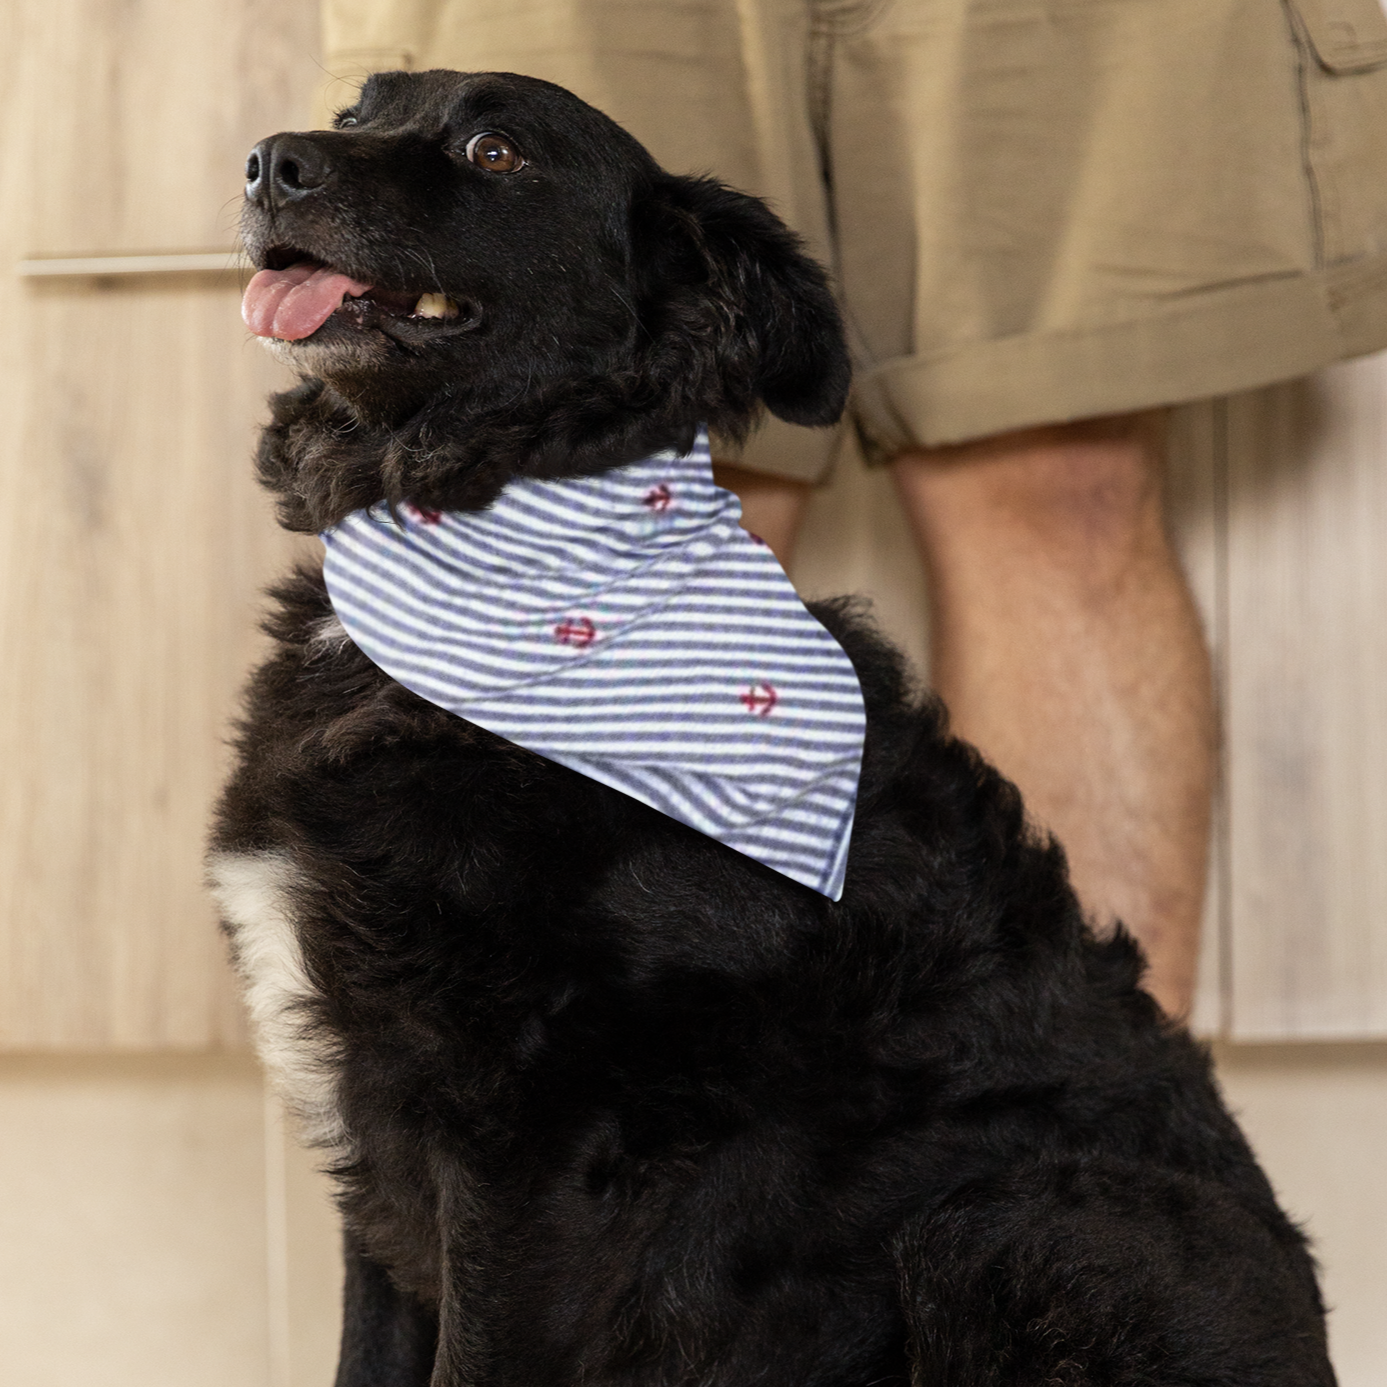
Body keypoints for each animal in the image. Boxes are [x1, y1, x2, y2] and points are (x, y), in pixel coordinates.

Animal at [210, 70, 1337, 1381]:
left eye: (494, 151)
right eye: (359, 110)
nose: (266, 162)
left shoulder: (527, 1151)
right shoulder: (380, 1142)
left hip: (1019, 1220)